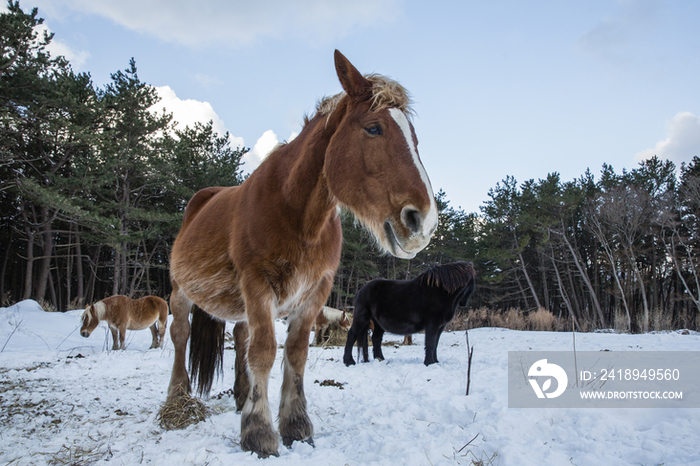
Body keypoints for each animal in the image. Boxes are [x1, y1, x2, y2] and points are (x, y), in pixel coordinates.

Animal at [165, 49, 438, 456]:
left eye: (415, 137)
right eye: (374, 128)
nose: (424, 221)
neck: (297, 213)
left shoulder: (314, 293)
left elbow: (295, 354)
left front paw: (295, 426)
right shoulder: (258, 284)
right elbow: (264, 351)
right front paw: (260, 433)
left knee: (240, 338)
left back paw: (241, 396)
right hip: (182, 292)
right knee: (181, 334)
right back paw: (176, 401)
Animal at [344, 260, 476, 366]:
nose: (464, 303)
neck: (440, 293)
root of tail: (360, 291)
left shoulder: (441, 326)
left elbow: (435, 344)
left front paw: (435, 361)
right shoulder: (432, 324)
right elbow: (430, 343)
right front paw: (429, 363)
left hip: (378, 323)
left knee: (376, 338)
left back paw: (380, 359)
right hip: (362, 317)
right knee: (352, 334)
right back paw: (349, 361)